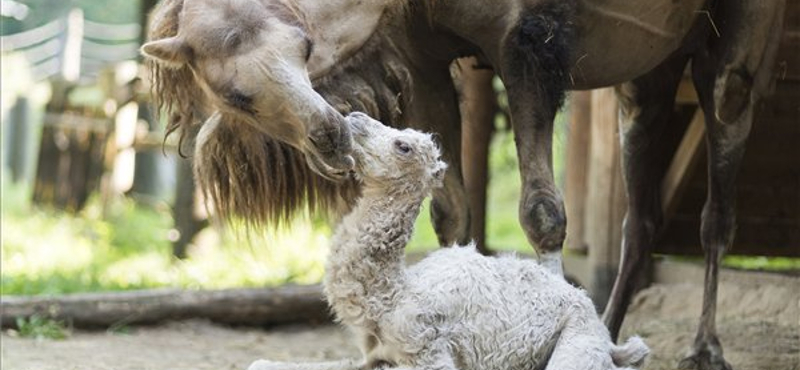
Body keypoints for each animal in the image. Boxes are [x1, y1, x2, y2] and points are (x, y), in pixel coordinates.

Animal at [250, 112, 648, 370]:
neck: (391, 296)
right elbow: (260, 363)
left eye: (403, 146)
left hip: (576, 343)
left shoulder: (429, 349)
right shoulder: (372, 355)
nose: (356, 117)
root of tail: (606, 335)